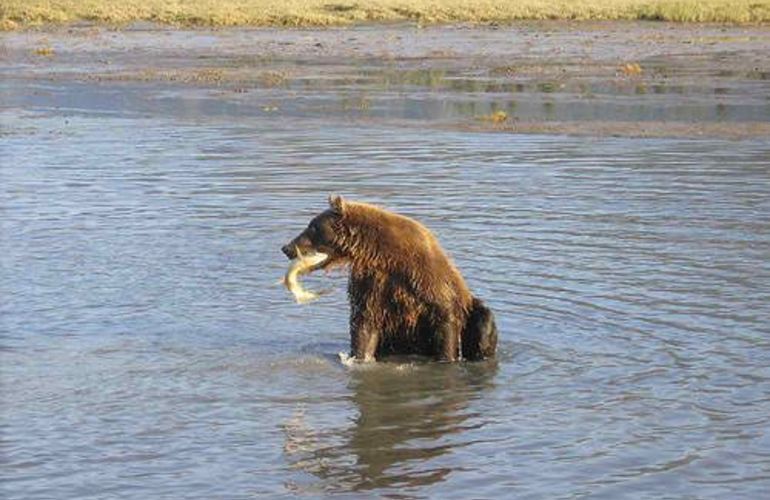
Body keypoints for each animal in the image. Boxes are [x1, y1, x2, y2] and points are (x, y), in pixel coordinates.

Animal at [281, 195, 497, 362]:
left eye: (312, 227)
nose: (286, 247)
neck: (382, 254)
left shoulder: (425, 279)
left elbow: (445, 319)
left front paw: (447, 358)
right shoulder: (372, 284)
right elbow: (364, 325)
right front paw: (360, 357)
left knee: (484, 320)